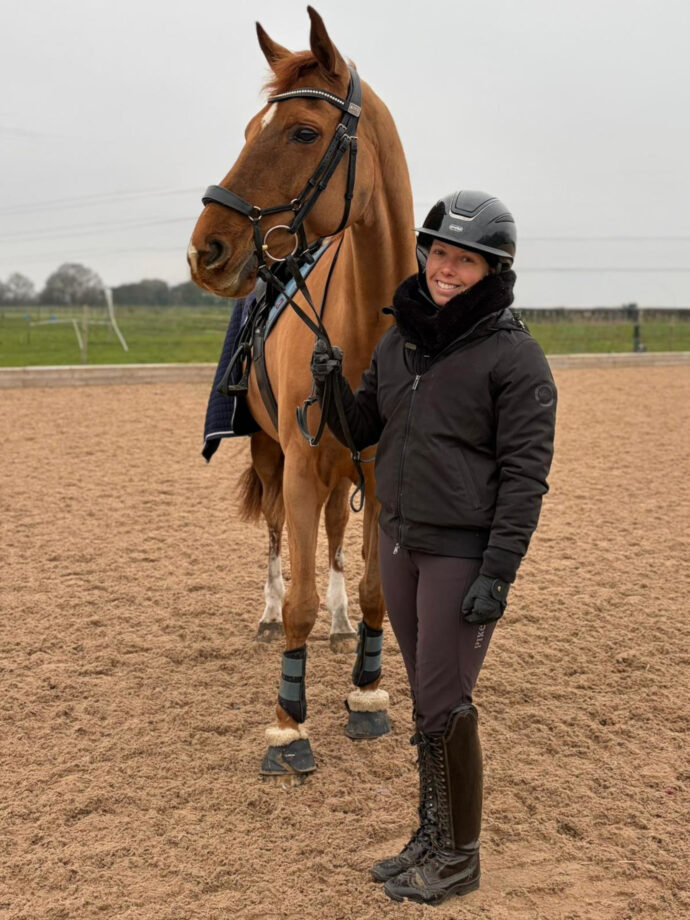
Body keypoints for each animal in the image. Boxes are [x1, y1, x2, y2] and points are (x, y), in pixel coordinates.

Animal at [188, 6, 416, 779]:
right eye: (248, 132)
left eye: (303, 133)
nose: (206, 248)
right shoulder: (299, 464)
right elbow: (298, 600)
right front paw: (289, 726)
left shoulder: (376, 470)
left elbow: (376, 587)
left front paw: (368, 695)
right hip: (271, 456)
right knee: (276, 539)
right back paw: (264, 616)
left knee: (338, 543)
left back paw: (343, 627)